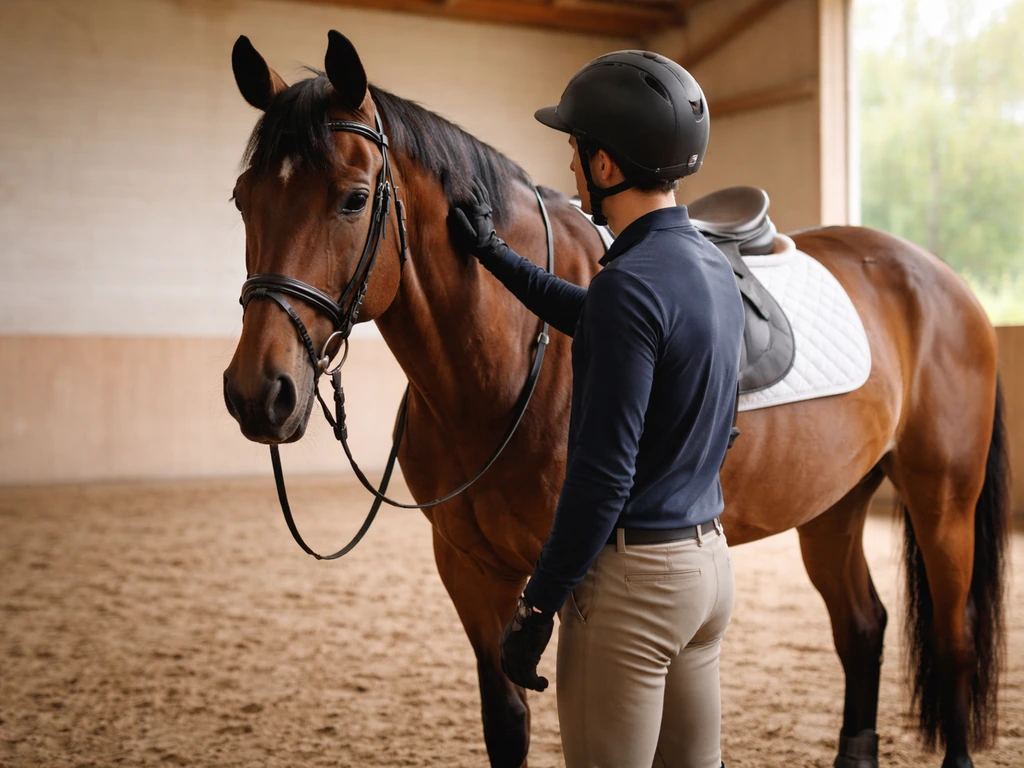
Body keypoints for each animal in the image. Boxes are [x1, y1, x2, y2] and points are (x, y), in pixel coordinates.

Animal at [221, 32, 1009, 768]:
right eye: (242, 200)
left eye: (354, 199)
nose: (259, 393)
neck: (508, 360)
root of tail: (942, 279)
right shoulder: (470, 570)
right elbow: (506, 724)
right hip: (832, 505)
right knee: (862, 627)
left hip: (942, 503)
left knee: (952, 638)